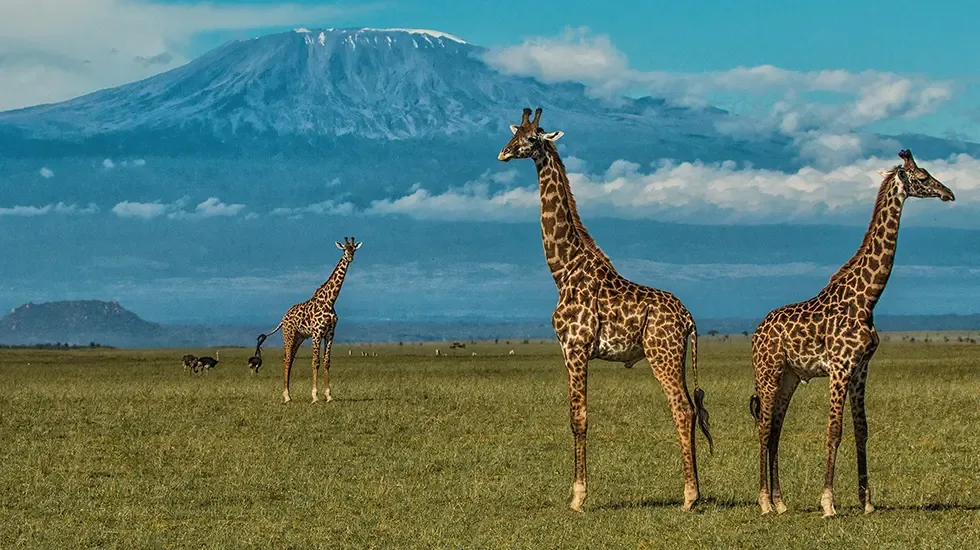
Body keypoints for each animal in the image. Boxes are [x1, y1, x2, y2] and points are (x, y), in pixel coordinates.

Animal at [256, 237, 362, 403]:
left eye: (354, 249)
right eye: (344, 249)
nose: (350, 257)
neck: (330, 301)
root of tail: (283, 318)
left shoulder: (330, 333)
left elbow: (326, 362)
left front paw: (329, 395)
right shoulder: (317, 333)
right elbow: (315, 362)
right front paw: (315, 396)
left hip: (299, 337)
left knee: (290, 359)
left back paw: (289, 394)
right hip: (289, 334)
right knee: (286, 359)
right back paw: (286, 396)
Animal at [497, 108, 713, 512]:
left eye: (532, 139)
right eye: (514, 133)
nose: (503, 153)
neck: (563, 270)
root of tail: (689, 319)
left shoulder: (575, 347)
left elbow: (578, 417)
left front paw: (578, 497)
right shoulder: (573, 349)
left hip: (661, 354)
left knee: (682, 408)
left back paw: (690, 497)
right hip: (675, 357)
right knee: (691, 409)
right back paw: (694, 492)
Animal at [751, 150, 955, 518]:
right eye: (923, 177)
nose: (949, 193)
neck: (867, 297)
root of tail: (756, 334)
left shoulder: (861, 369)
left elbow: (862, 430)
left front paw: (867, 501)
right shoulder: (840, 367)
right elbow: (834, 430)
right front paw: (828, 503)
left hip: (789, 377)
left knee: (775, 430)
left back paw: (781, 501)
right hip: (768, 372)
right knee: (764, 428)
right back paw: (764, 503)